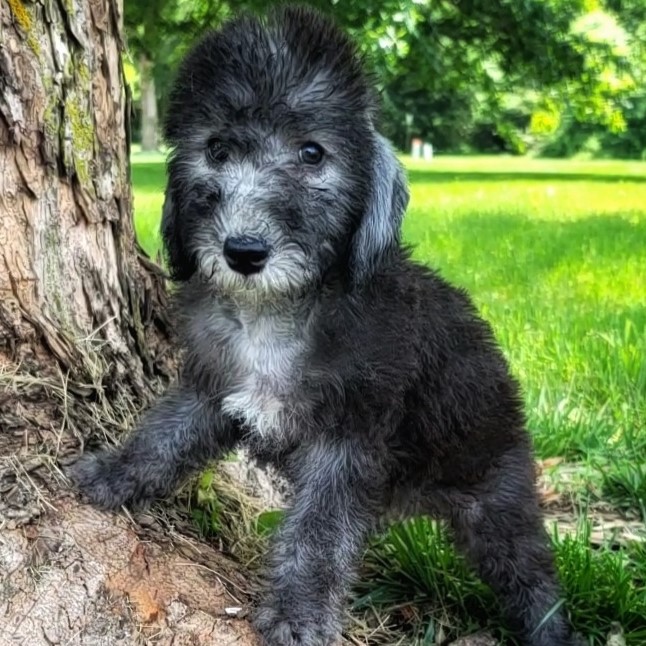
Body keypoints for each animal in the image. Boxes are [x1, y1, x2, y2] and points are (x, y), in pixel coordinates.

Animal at [71, 6, 584, 646]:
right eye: (216, 149)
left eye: (312, 153)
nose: (243, 252)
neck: (277, 312)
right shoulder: (211, 391)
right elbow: (161, 439)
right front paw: (109, 475)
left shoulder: (347, 441)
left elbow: (317, 535)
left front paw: (300, 615)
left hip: (497, 497)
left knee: (532, 576)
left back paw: (551, 630)